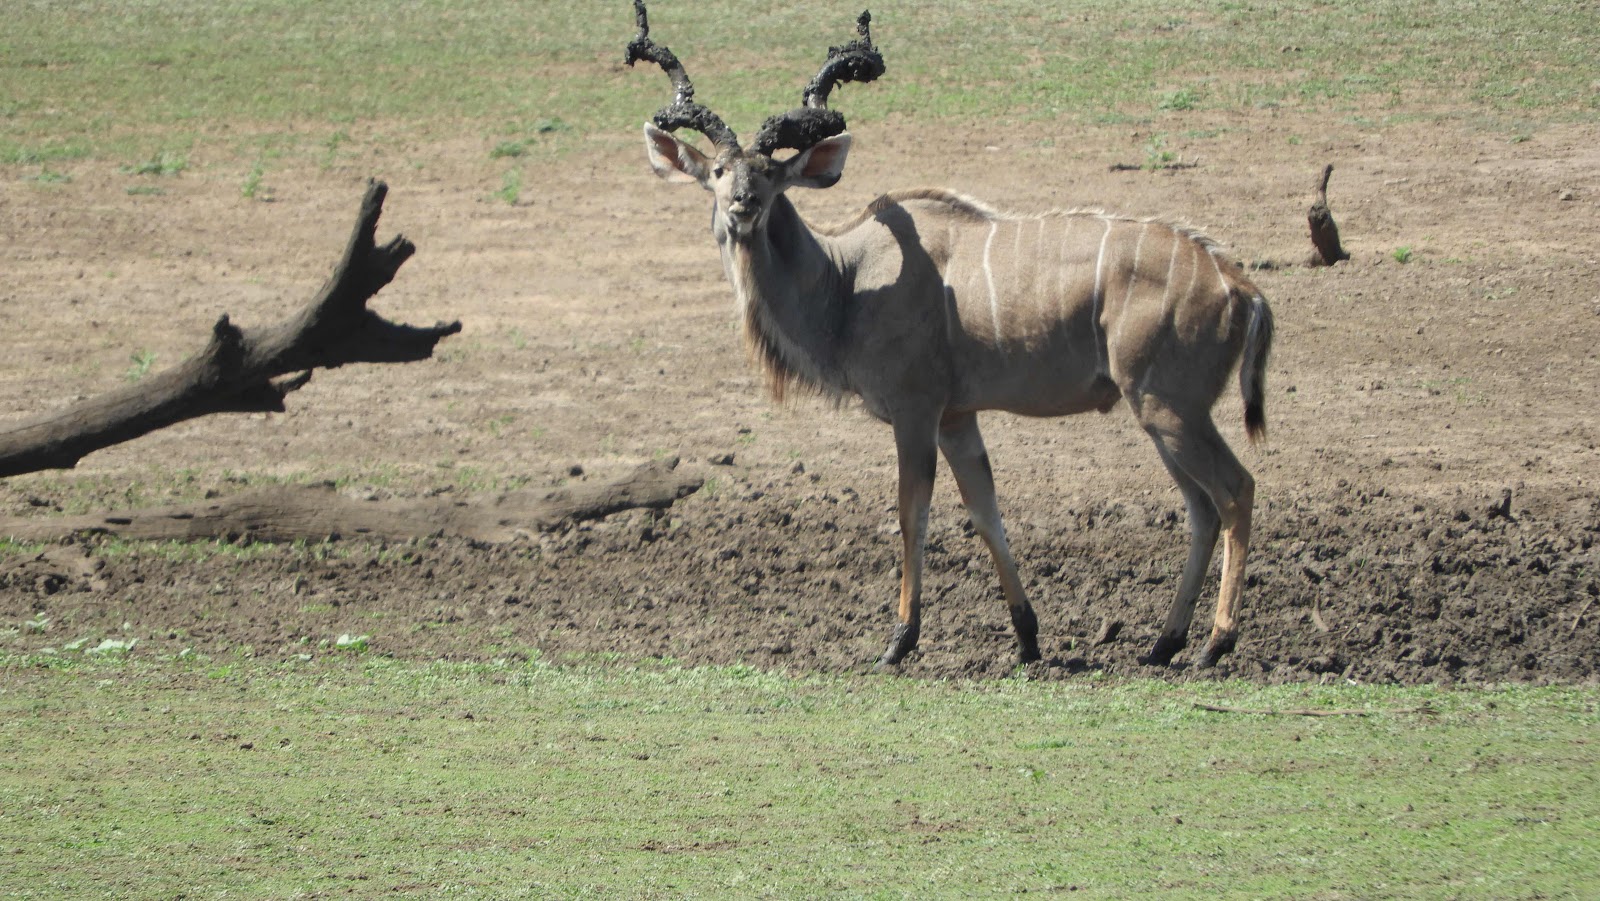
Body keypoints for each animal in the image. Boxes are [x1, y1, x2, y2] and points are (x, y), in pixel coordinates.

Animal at [624, 3, 1273, 668]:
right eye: (718, 171)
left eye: (771, 174)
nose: (743, 206)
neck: (848, 281)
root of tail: (1240, 286)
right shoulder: (959, 418)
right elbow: (986, 513)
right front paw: (1027, 638)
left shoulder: (917, 411)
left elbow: (913, 513)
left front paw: (900, 640)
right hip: (1163, 415)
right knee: (1200, 508)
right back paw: (1164, 643)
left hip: (1168, 406)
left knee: (1235, 491)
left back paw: (1216, 643)